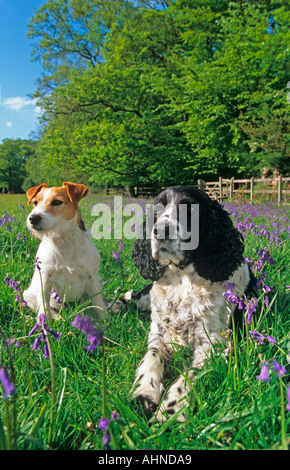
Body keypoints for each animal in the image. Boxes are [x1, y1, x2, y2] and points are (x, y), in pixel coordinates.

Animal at [23, 182, 105, 322]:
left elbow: (98, 303)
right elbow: (44, 304)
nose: (33, 218)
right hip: (27, 296)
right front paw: (45, 322)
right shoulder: (45, 278)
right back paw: (56, 317)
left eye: (57, 202)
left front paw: (105, 320)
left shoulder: (92, 278)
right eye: (35, 202)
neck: (64, 240)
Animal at [129, 185, 254, 420]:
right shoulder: (158, 333)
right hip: (144, 298)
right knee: (128, 297)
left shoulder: (213, 343)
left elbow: (188, 375)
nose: (161, 231)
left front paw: (169, 410)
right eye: (157, 208)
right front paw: (144, 393)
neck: (182, 280)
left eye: (190, 209)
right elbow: (150, 358)